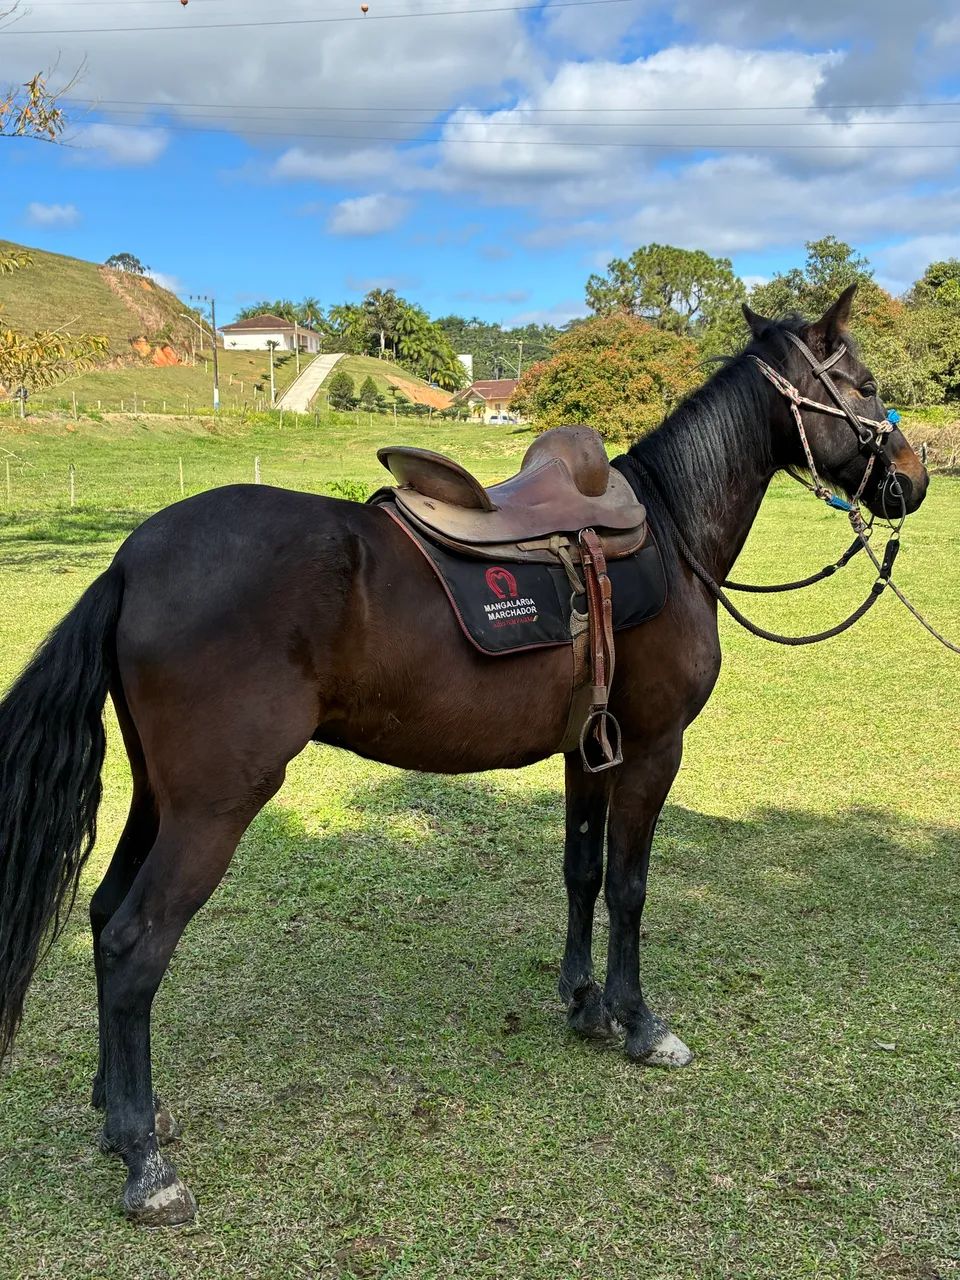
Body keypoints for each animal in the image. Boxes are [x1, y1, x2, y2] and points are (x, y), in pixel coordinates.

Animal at [0, 285, 929, 1225]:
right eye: (862, 382)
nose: (914, 477)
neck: (668, 537)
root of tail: (129, 561)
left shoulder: (588, 752)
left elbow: (582, 872)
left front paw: (584, 1004)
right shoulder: (653, 748)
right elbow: (630, 886)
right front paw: (638, 1021)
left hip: (161, 798)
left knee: (101, 915)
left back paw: (119, 1111)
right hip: (214, 809)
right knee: (132, 947)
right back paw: (145, 1162)